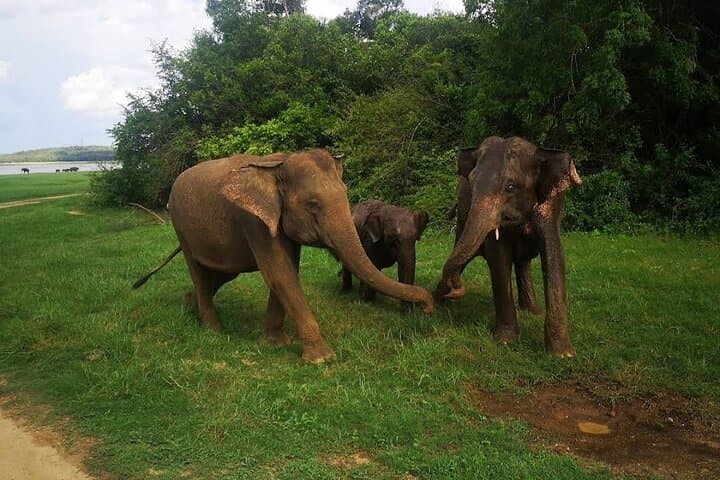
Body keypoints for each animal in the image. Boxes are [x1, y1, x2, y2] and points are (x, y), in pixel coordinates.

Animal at [133, 149, 434, 363]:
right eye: (313, 204)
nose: (428, 309)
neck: (279, 163)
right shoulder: (253, 221)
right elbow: (279, 272)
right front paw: (321, 359)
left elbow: (287, 269)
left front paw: (276, 343)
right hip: (180, 225)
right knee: (197, 269)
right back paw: (212, 330)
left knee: (222, 272)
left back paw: (189, 305)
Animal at [434, 136, 582, 357]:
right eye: (472, 184)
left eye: (511, 187)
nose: (457, 289)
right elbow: (499, 257)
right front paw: (505, 341)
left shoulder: (550, 206)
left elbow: (554, 255)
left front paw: (563, 355)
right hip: (462, 217)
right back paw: (434, 302)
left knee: (523, 262)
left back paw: (532, 312)